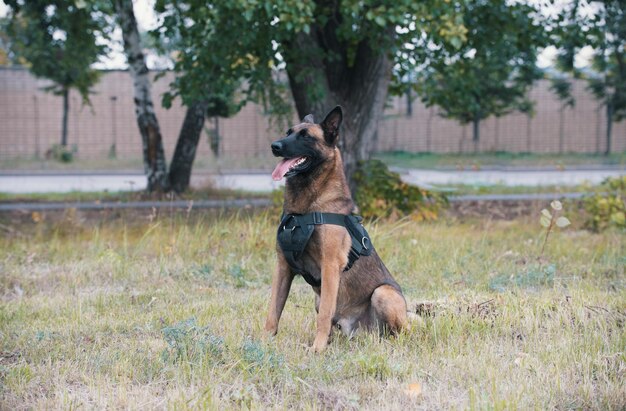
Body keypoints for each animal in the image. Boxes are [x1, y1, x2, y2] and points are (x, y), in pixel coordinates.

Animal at [262, 104, 404, 352]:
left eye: (306, 136)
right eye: (288, 132)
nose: (275, 146)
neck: (304, 210)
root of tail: (360, 331)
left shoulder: (330, 265)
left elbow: (324, 316)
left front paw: (317, 348)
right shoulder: (282, 266)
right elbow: (273, 310)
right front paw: (261, 341)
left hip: (383, 293)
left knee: (397, 332)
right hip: (320, 300)